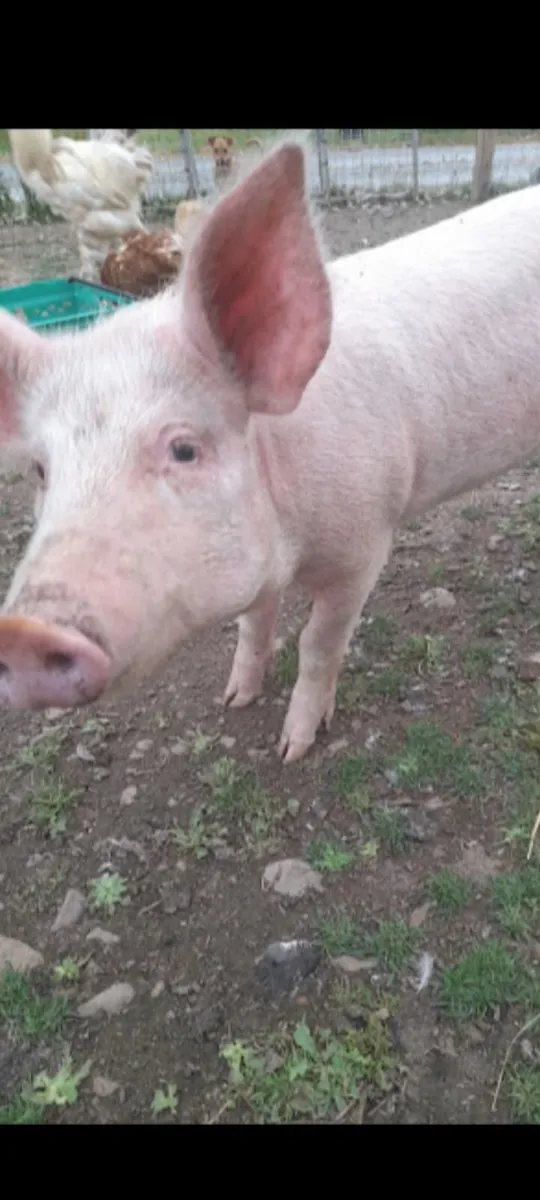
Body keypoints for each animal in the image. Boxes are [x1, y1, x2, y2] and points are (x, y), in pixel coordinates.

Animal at [1, 141, 540, 763]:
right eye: (42, 469)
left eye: (184, 449)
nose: (21, 634)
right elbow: (253, 626)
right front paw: (235, 699)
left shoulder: (364, 546)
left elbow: (317, 644)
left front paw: (292, 748)